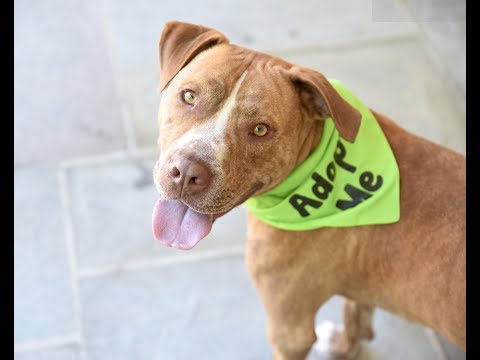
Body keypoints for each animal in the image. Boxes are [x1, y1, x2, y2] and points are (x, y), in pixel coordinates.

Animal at [151, 21, 464, 358]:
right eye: (189, 96)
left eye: (260, 129)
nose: (185, 173)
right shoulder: (360, 293)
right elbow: (357, 313)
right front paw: (346, 346)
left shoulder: (289, 331)